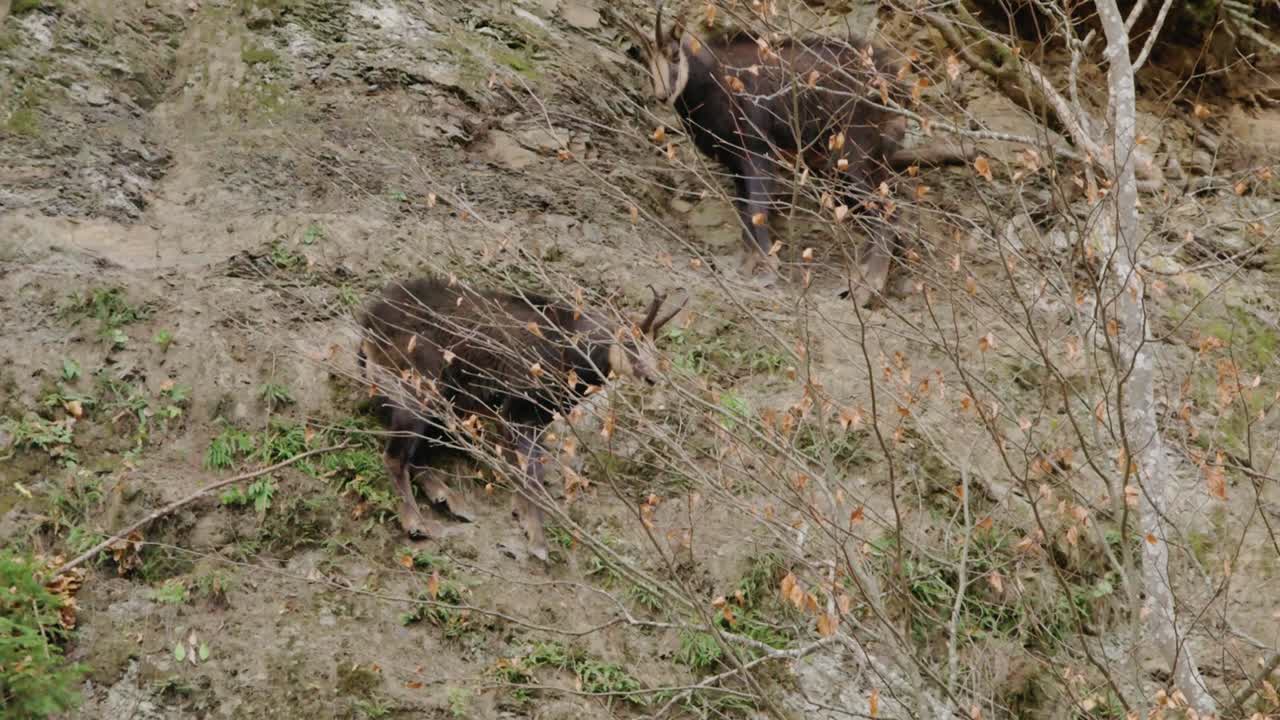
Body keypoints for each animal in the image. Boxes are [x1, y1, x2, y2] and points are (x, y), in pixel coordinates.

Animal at [357, 276, 685, 561]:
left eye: (654, 348)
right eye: (629, 342)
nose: (653, 378)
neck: (571, 352)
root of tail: (368, 327)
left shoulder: (537, 417)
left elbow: (525, 470)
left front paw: (523, 518)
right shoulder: (518, 409)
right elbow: (532, 474)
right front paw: (537, 539)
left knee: (416, 454)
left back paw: (449, 500)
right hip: (419, 388)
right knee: (396, 456)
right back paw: (416, 522)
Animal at [619, 1, 910, 305]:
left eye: (675, 55)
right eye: (645, 59)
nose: (662, 95)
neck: (714, 81)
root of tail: (895, 84)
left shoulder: (758, 150)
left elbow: (757, 207)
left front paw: (768, 268)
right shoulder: (735, 163)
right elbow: (745, 211)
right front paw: (748, 265)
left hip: (852, 154)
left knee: (887, 212)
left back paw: (868, 287)